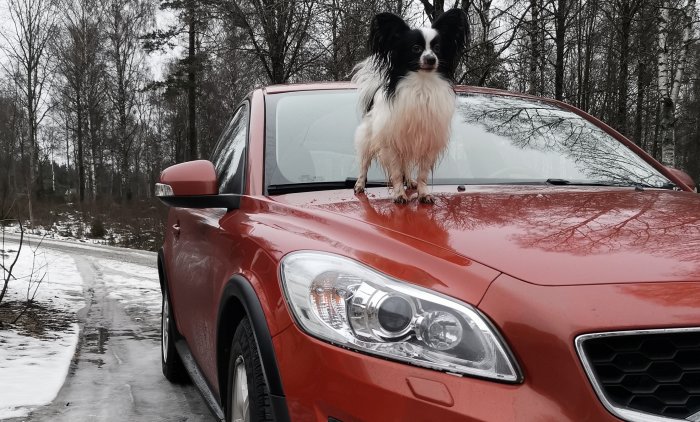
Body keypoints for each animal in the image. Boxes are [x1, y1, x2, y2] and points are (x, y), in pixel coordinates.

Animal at [352, 9, 468, 204]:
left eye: (437, 48)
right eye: (416, 48)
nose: (431, 59)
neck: (421, 85)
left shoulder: (427, 141)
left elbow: (422, 173)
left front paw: (423, 193)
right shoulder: (390, 141)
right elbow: (395, 172)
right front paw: (399, 194)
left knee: (405, 164)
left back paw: (410, 181)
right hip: (369, 137)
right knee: (364, 162)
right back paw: (360, 185)